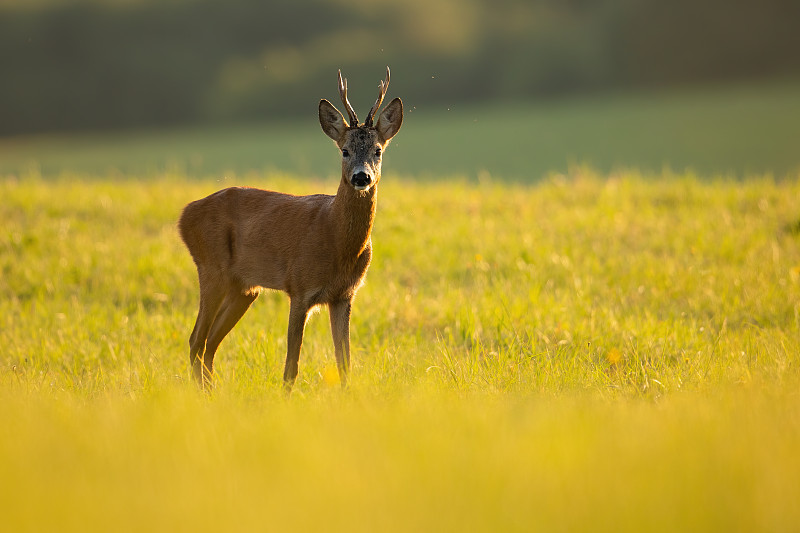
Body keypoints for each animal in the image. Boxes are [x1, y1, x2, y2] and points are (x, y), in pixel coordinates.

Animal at [177, 66, 400, 390]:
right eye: (345, 151)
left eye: (378, 150)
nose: (362, 177)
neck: (337, 240)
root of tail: (184, 216)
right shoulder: (300, 287)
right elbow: (291, 366)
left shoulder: (344, 295)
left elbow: (344, 364)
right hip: (211, 268)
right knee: (196, 339)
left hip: (244, 288)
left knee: (209, 344)